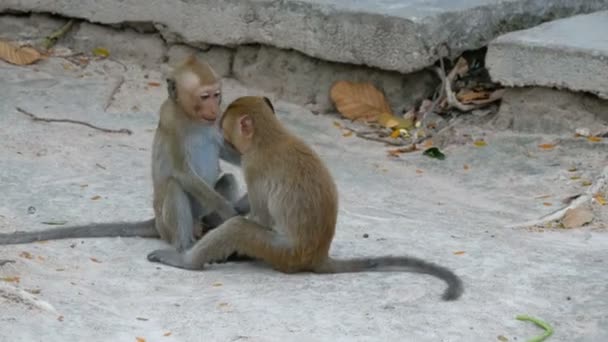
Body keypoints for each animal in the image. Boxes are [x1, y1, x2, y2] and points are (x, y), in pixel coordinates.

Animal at [0, 55, 249, 254]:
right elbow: (183, 172)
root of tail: (156, 223)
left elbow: (228, 154)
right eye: (205, 97)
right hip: (166, 225)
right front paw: (228, 210)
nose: (214, 108)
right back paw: (185, 245)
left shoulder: (214, 123)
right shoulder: (171, 122)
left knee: (227, 179)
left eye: (217, 95)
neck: (191, 117)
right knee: (174, 186)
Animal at [150, 95, 464, 300]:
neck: (270, 134)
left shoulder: (254, 164)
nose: (223, 139)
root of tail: (317, 256)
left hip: (283, 253)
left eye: (226, 130)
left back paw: (189, 261)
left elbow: (259, 217)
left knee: (241, 230)